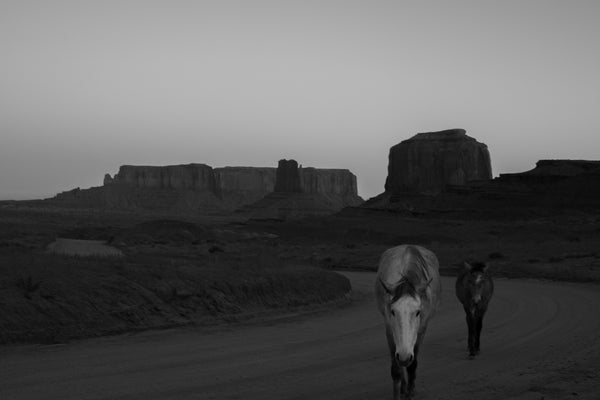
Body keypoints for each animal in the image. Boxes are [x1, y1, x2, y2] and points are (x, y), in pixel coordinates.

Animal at [376, 244, 440, 400]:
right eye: (393, 311)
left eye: (417, 312)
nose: (404, 356)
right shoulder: (389, 331)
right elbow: (396, 369)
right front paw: (399, 392)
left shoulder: (421, 330)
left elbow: (412, 365)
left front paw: (411, 392)